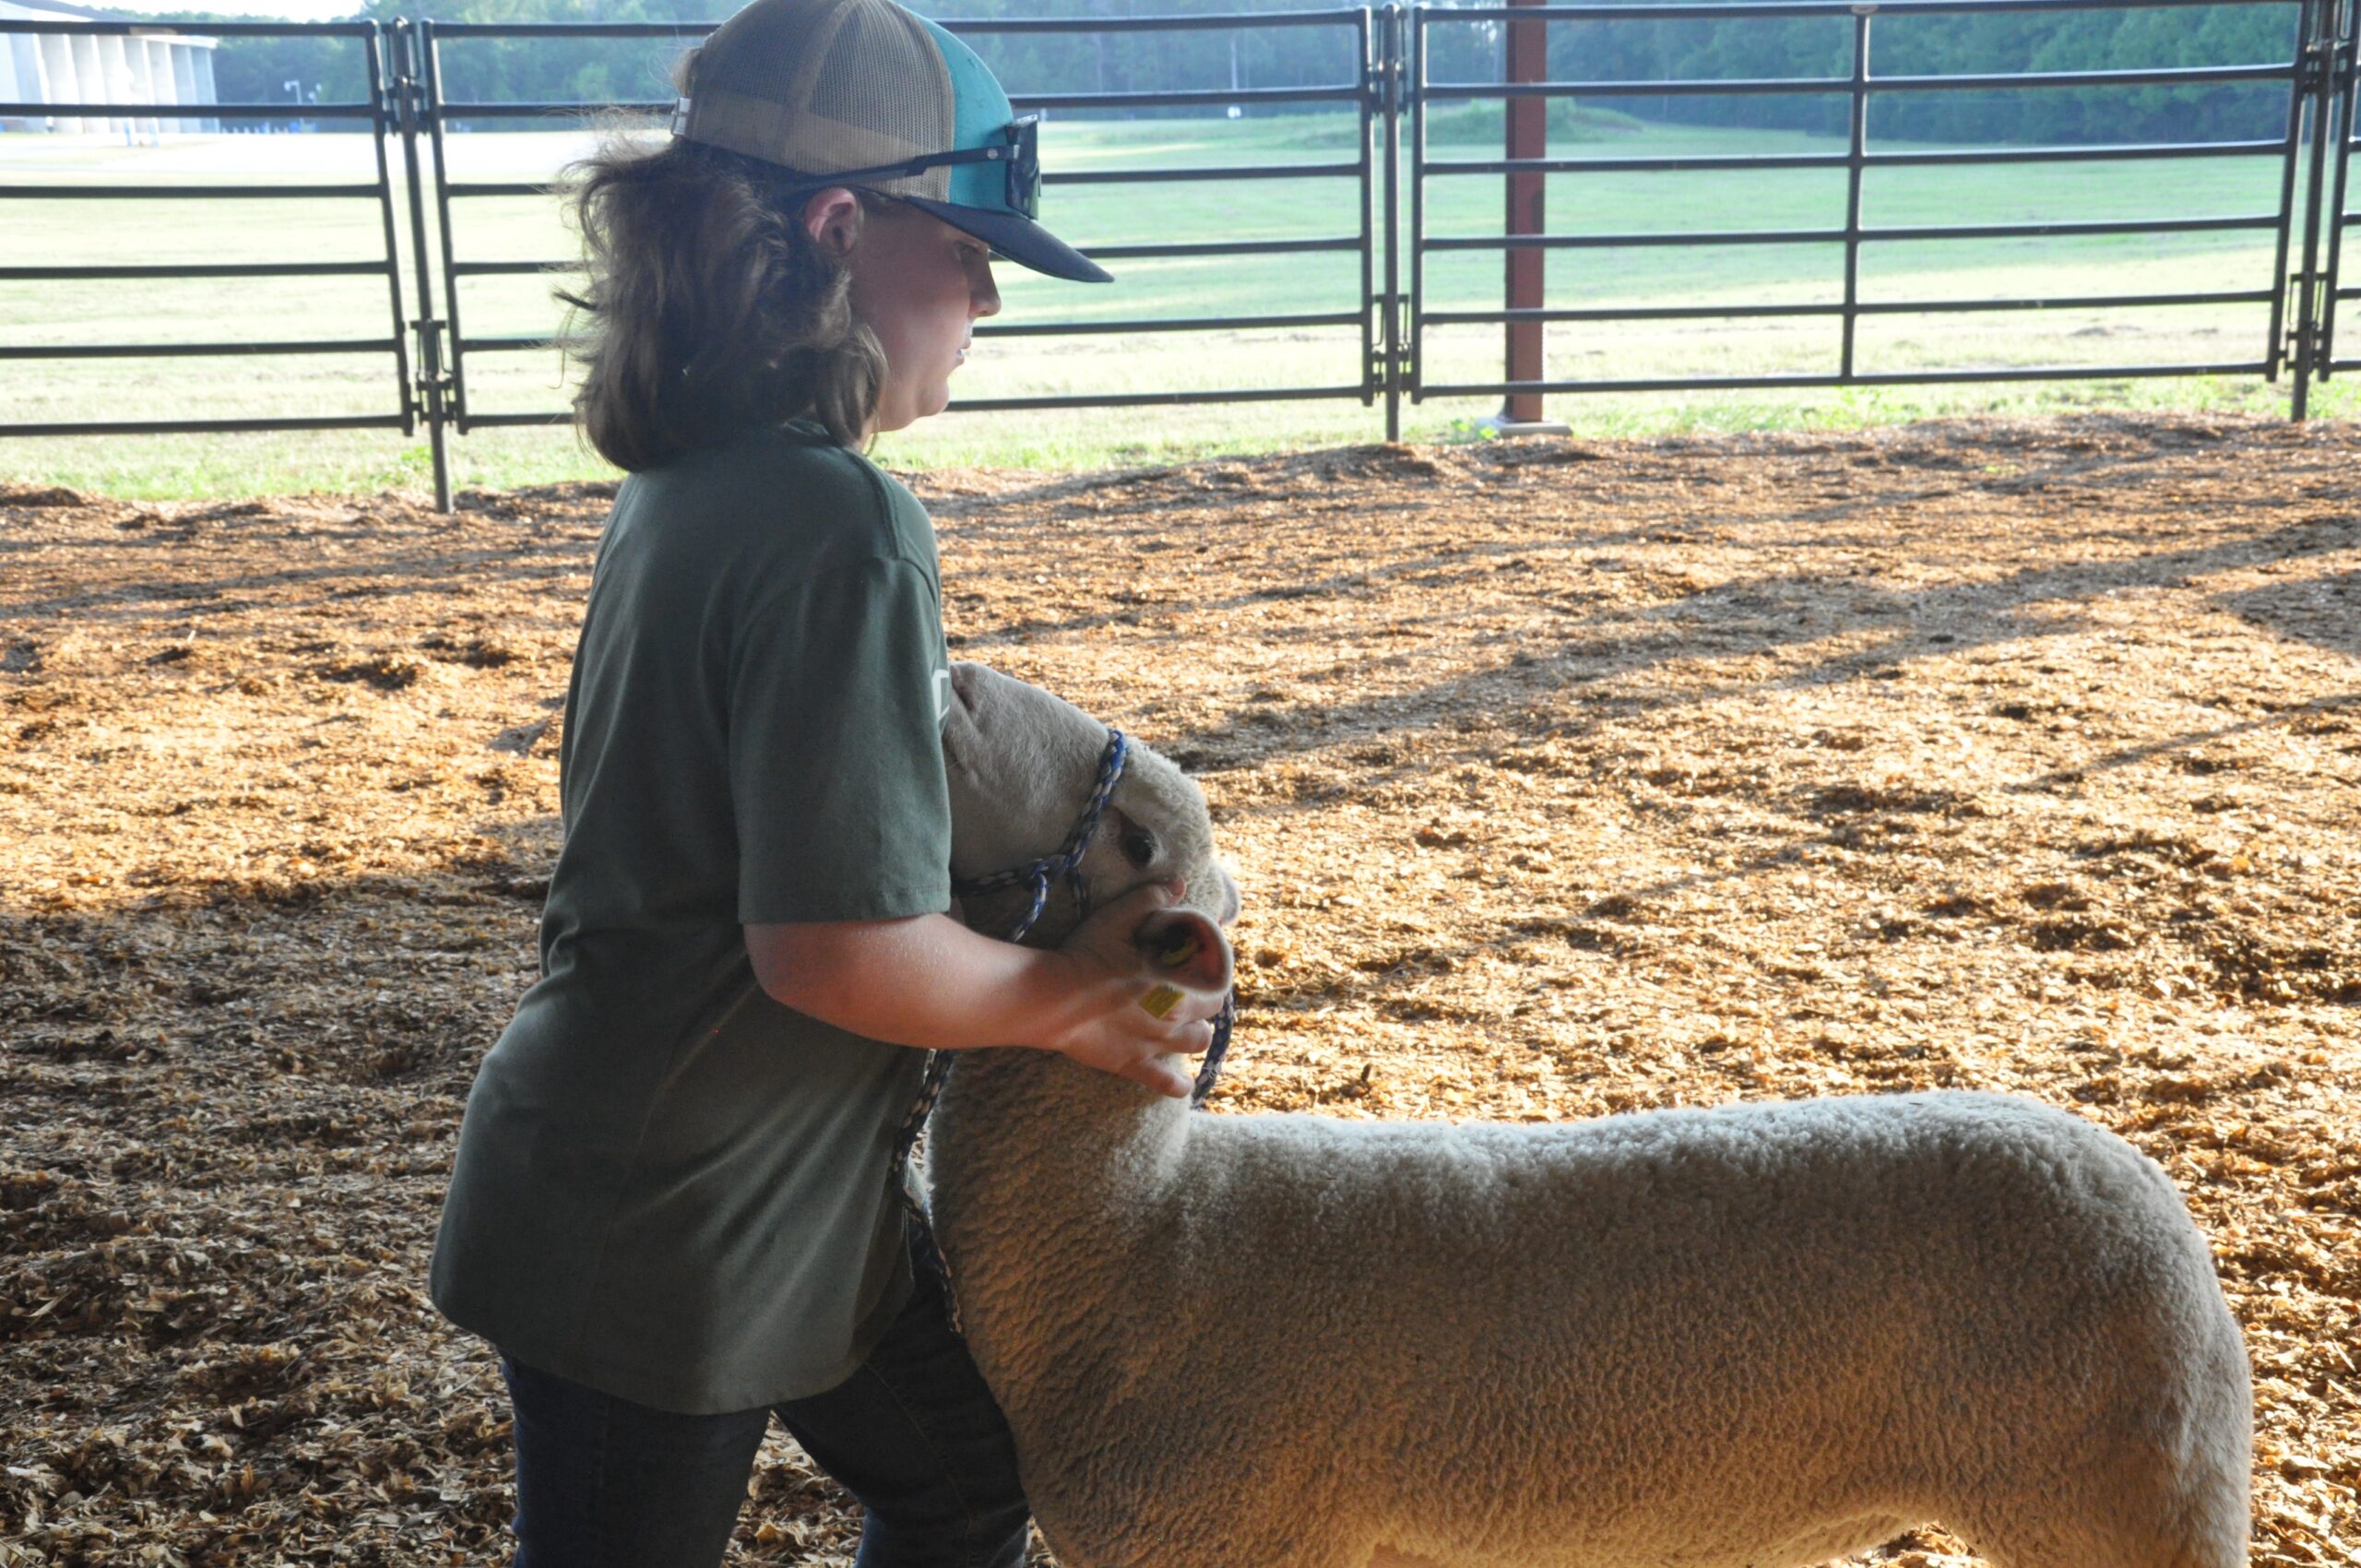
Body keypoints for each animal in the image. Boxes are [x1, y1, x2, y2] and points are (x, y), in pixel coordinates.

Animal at [920, 660, 2248, 1568]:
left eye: (1136, 835)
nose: (957, 680)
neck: (1143, 1231)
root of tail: (2166, 1211)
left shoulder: (1232, 1533)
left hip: (2132, 1499)